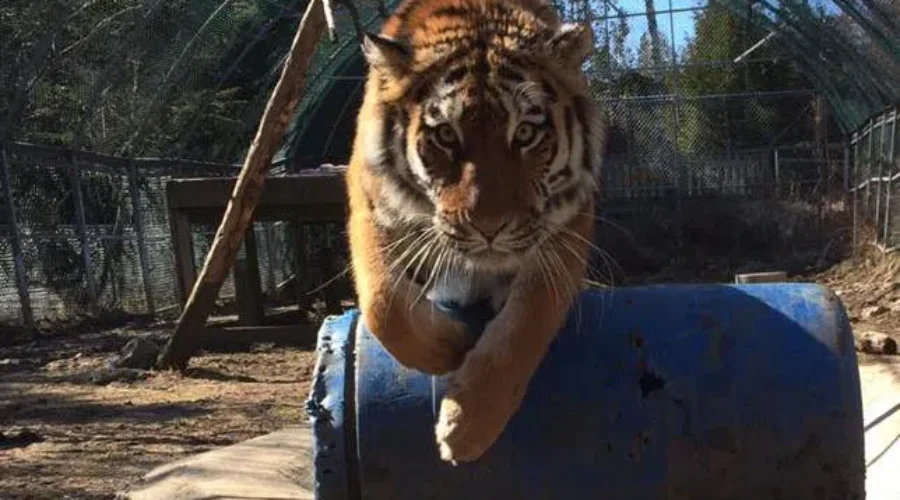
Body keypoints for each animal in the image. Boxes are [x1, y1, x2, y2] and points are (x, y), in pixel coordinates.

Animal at [345, 0, 604, 464]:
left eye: (525, 133)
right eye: (446, 135)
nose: (489, 226)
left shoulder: (568, 222)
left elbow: (528, 321)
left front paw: (467, 426)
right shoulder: (370, 203)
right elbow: (383, 304)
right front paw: (452, 346)